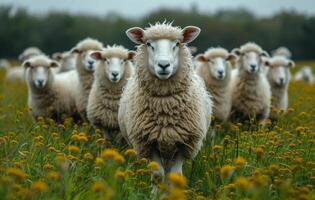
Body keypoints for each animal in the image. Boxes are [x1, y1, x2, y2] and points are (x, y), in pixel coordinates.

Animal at [119, 22, 214, 187]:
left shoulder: (185, 143)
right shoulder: (148, 143)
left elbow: (176, 175)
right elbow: (158, 175)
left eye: (177, 44)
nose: (164, 65)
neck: (165, 107)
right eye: (149, 44)